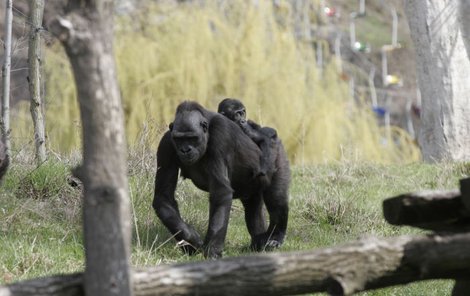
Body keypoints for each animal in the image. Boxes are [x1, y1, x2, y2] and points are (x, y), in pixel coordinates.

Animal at [152, 100, 290, 258]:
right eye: (179, 139)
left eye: (192, 138)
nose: (185, 150)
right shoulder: (166, 143)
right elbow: (164, 197)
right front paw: (189, 238)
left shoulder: (220, 134)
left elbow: (220, 193)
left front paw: (213, 249)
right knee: (253, 208)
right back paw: (259, 242)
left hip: (276, 152)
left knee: (276, 199)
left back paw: (275, 236)